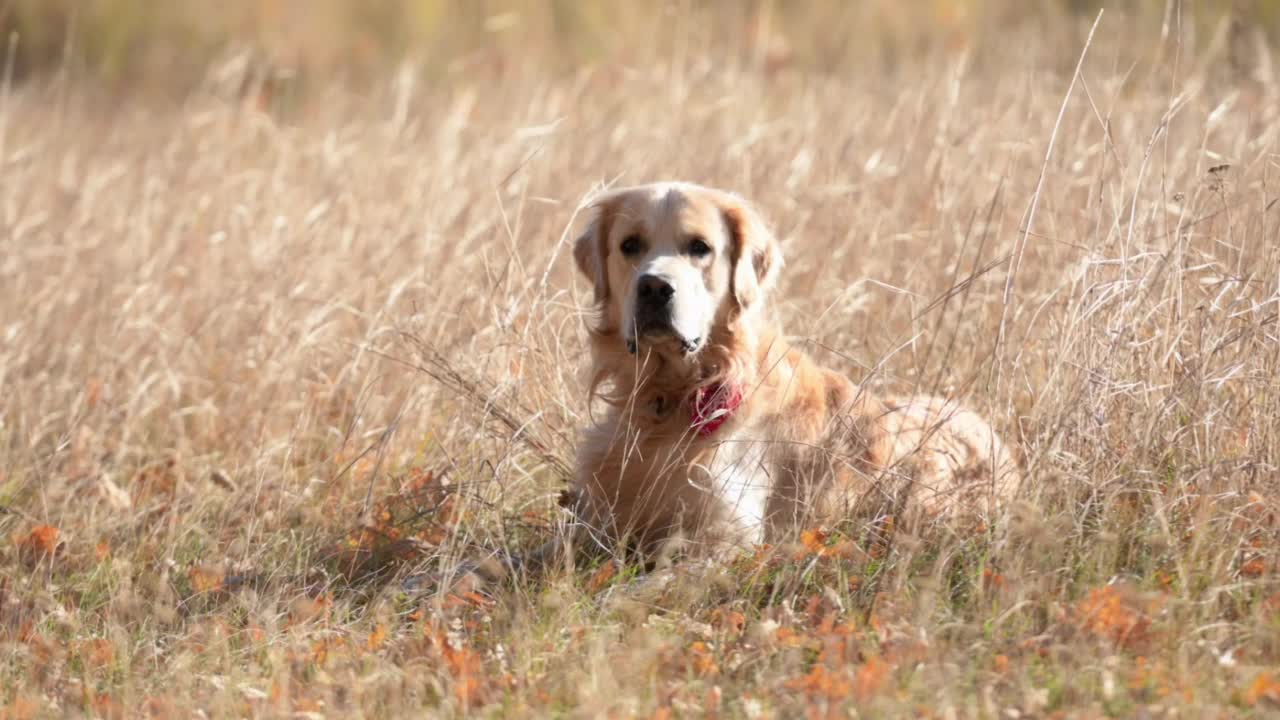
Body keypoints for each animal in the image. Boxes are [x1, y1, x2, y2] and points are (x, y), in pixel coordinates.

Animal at [419, 180, 1018, 589]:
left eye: (699, 247)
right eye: (630, 245)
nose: (654, 288)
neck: (668, 403)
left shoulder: (727, 539)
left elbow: (642, 584)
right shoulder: (594, 527)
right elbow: (491, 562)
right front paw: (430, 581)